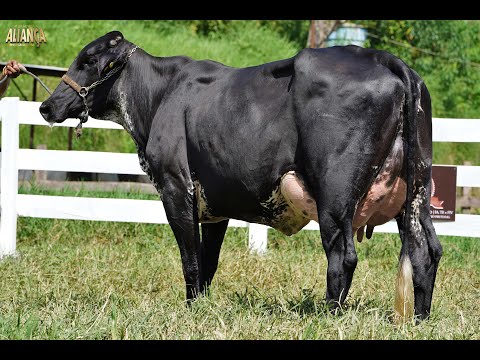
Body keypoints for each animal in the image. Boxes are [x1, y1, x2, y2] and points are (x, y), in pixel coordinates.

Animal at [40, 31, 442, 322]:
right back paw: (419, 319)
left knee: (343, 255)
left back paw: (329, 317)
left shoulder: (175, 187)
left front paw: (189, 311)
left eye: (87, 61)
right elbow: (208, 262)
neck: (160, 96)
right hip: (416, 192)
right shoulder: (216, 203)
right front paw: (199, 308)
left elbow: (190, 259)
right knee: (426, 250)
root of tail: (383, 58)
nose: (46, 106)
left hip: (335, 196)